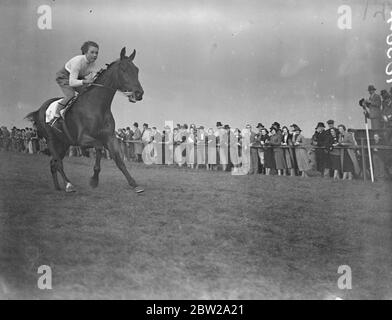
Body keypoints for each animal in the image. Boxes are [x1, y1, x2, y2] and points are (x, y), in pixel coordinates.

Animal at [26, 47, 145, 192]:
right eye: (123, 69)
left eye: (136, 70)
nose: (139, 93)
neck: (97, 106)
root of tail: (39, 110)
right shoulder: (82, 139)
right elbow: (99, 147)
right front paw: (94, 180)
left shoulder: (110, 137)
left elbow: (118, 159)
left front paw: (134, 184)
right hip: (51, 140)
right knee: (58, 163)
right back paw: (69, 185)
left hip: (64, 143)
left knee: (53, 163)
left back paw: (58, 187)